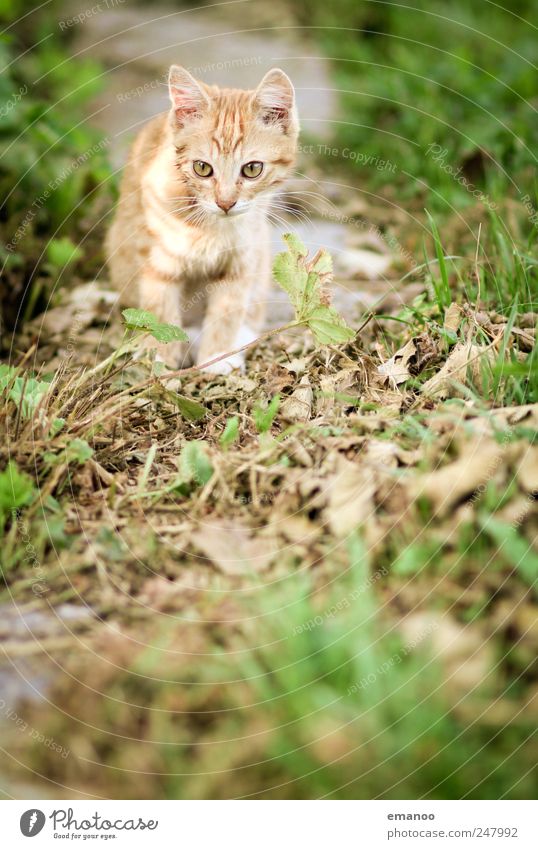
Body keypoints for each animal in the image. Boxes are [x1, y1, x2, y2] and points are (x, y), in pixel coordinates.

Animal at [104, 65, 298, 372]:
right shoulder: (156, 258)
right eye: (202, 168)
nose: (226, 203)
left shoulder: (241, 259)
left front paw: (216, 357)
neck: (213, 227)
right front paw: (160, 358)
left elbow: (229, 308)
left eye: (252, 169)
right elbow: (159, 310)